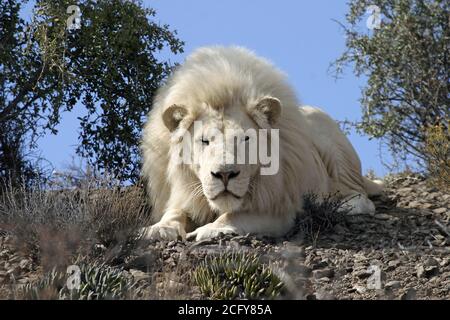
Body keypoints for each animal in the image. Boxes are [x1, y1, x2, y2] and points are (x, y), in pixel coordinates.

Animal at [139, 46, 382, 241]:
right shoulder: (185, 195)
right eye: (204, 140)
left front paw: (210, 229)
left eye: (245, 139)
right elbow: (175, 213)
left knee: (360, 196)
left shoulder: (280, 207)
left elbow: (236, 215)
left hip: (324, 131)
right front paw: (158, 229)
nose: (225, 175)